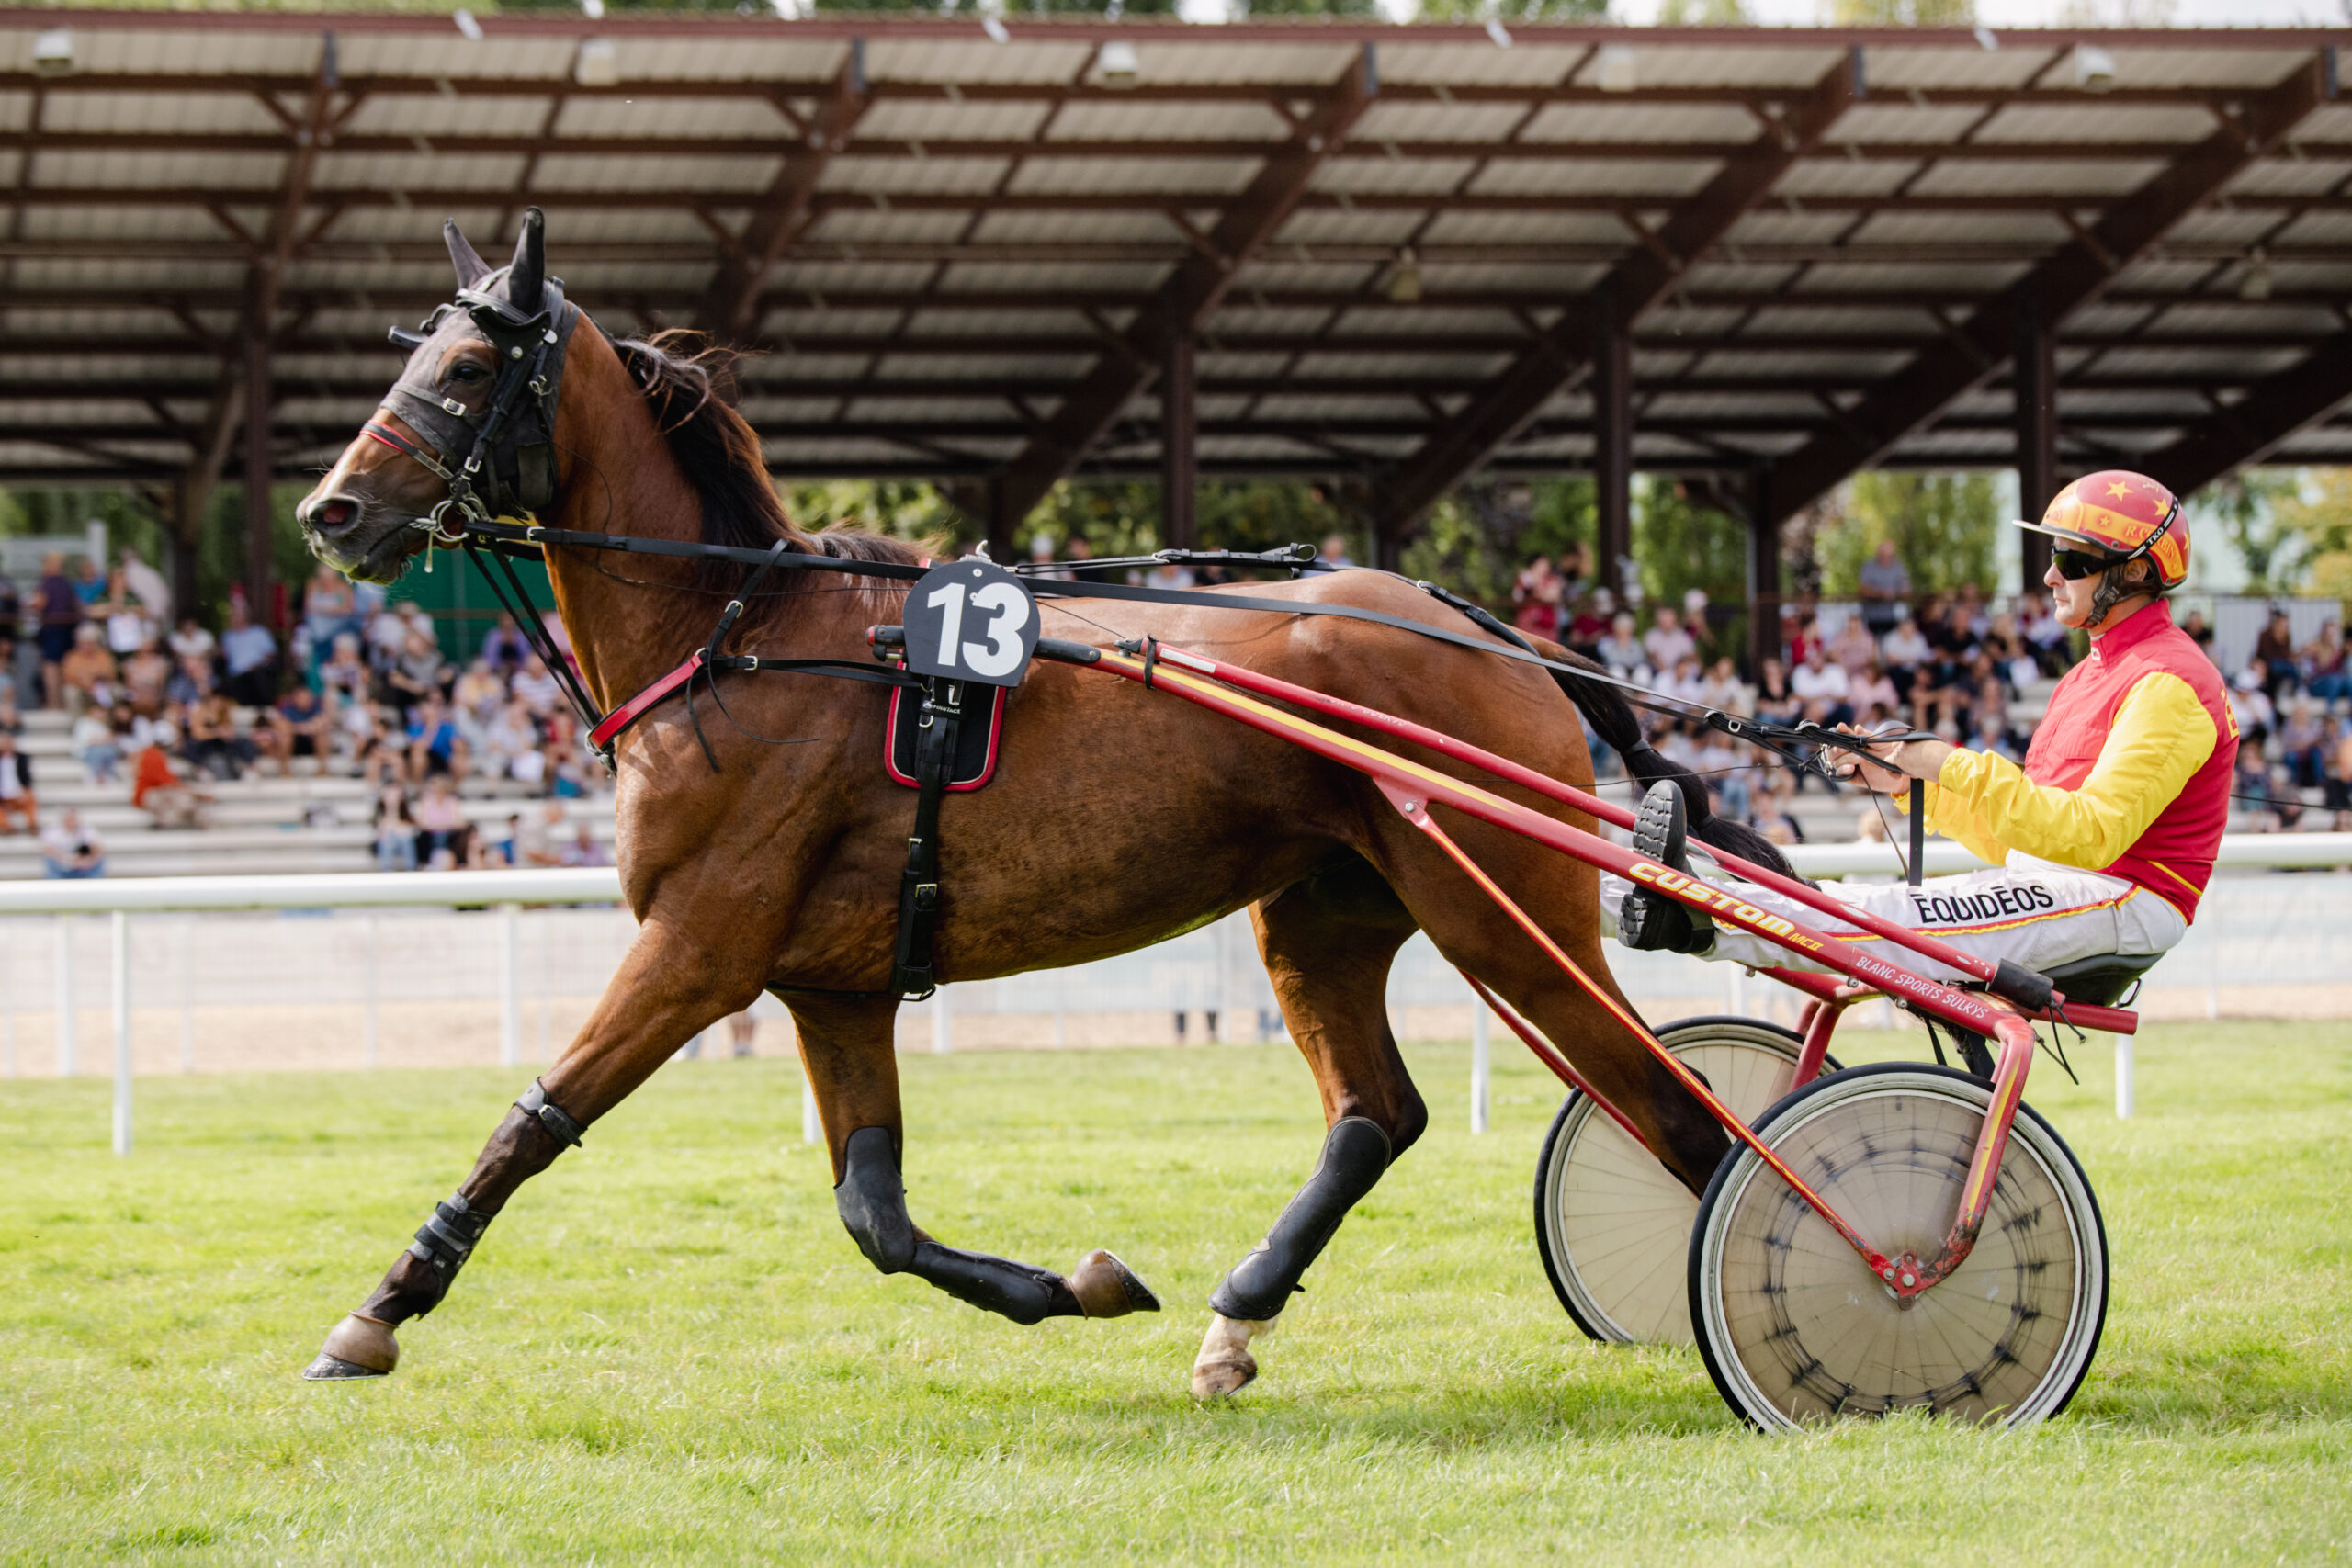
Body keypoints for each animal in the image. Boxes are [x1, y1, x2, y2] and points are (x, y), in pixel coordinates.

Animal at [288, 208, 1769, 1401]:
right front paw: (1080, 1284)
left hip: (1499, 910)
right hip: (1329, 908)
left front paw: (377, 1311)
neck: (738, 636)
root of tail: (1490, 631)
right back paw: (1238, 1317)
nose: (330, 511)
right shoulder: (831, 987)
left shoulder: (697, 947)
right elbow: (877, 1217)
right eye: (413, 357)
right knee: (1376, 1114)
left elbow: (531, 1121)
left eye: (466, 368)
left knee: (1677, 1106)